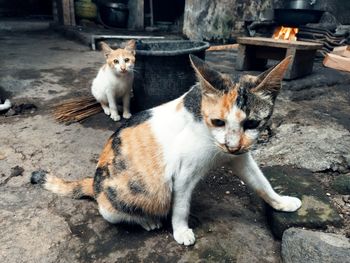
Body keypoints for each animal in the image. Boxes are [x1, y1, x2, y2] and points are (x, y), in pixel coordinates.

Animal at [31, 55, 302, 248]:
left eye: (252, 124)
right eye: (218, 122)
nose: (232, 145)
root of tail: (94, 182)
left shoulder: (240, 159)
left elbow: (261, 183)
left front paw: (281, 202)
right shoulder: (183, 174)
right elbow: (180, 207)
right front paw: (181, 231)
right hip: (116, 204)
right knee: (121, 212)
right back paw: (147, 220)